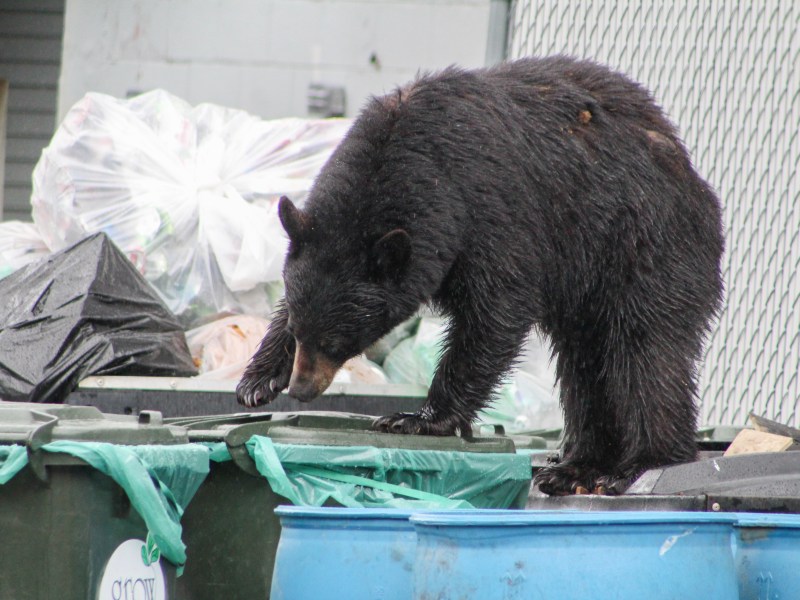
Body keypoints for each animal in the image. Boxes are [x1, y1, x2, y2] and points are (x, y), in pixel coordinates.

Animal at [236, 56, 724, 496]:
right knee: (584, 369)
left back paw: (637, 466)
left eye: (339, 342)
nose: (301, 389)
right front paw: (257, 380)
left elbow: (495, 312)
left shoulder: (492, 211)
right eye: (299, 331)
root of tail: (691, 173)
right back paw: (574, 467)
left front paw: (416, 419)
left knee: (644, 353)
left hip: (643, 247)